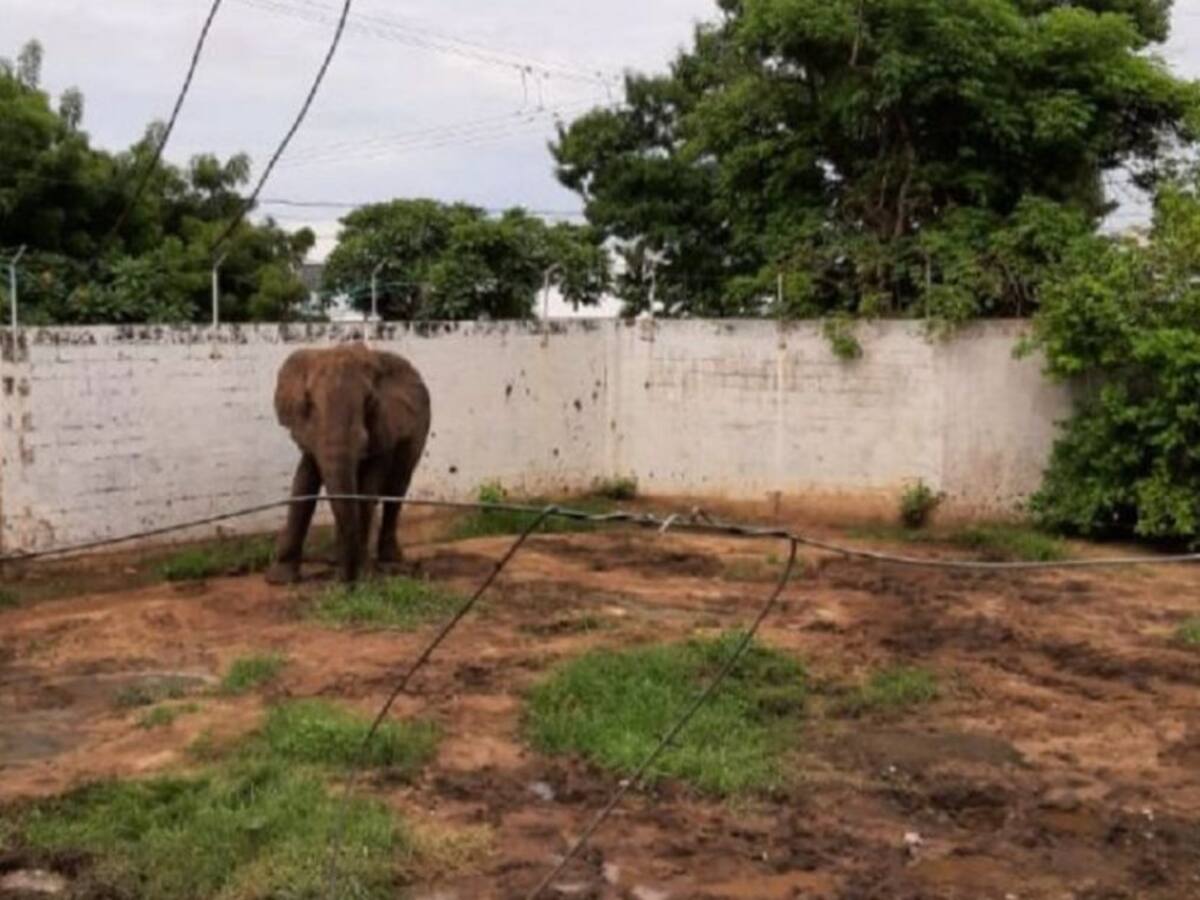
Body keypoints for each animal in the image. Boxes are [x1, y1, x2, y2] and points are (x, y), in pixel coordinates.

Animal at [265, 343, 431, 584]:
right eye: (309, 402)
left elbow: (368, 489)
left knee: (397, 489)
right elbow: (303, 485)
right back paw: (337, 559)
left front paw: (362, 575)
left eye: (370, 401)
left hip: (418, 434)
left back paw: (388, 563)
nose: (345, 581)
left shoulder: (383, 427)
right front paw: (280, 579)